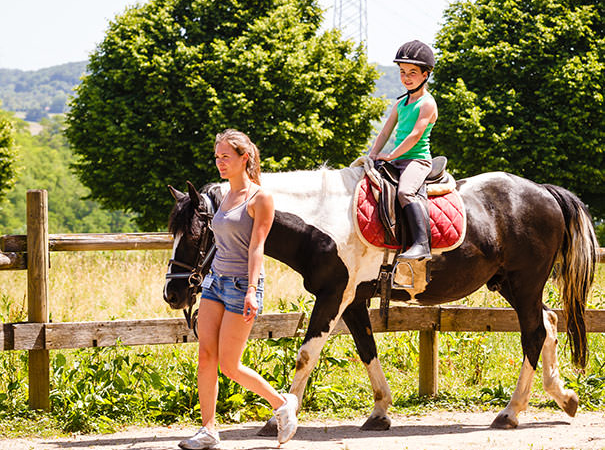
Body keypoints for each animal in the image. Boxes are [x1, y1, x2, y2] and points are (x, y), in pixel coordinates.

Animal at [163, 159, 596, 432]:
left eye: (199, 234)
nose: (172, 291)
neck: (322, 220)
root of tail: (543, 192)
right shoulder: (353, 300)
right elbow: (367, 349)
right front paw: (380, 411)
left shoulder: (334, 296)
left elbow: (305, 354)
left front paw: (278, 419)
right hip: (511, 284)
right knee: (549, 323)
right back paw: (563, 397)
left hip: (525, 283)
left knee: (533, 334)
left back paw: (511, 412)